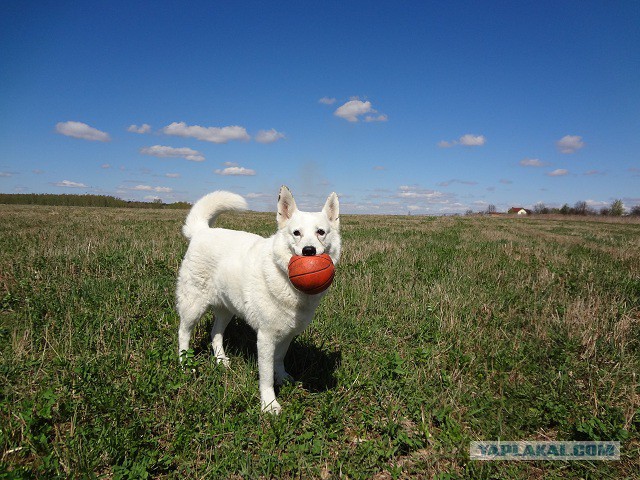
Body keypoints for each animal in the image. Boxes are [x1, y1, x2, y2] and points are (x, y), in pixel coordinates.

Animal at [175, 186, 340, 414]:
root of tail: (201, 231)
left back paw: (221, 360)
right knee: (183, 332)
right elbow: (266, 375)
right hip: (194, 305)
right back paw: (185, 363)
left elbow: (279, 360)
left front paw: (283, 378)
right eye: (296, 233)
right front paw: (269, 405)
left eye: (321, 232)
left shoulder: (287, 334)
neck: (285, 279)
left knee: (215, 333)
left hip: (227, 309)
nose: (309, 251)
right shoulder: (265, 338)